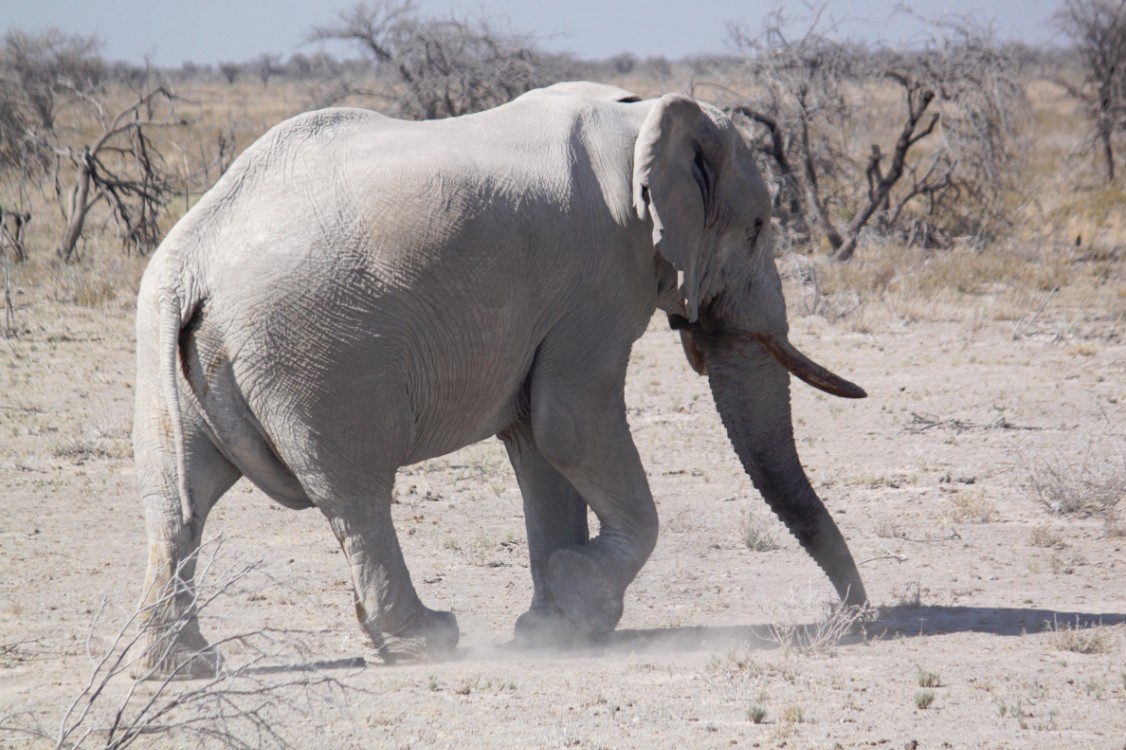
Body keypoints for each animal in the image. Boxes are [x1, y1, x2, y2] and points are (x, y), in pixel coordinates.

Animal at [133, 81, 869, 675]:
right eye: (759, 228)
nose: (851, 620)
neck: (640, 118)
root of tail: (192, 257)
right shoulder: (599, 279)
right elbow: (570, 425)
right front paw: (576, 598)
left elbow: (537, 442)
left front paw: (556, 628)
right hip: (312, 357)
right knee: (354, 492)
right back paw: (426, 641)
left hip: (176, 352)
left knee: (180, 498)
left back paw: (185, 667)